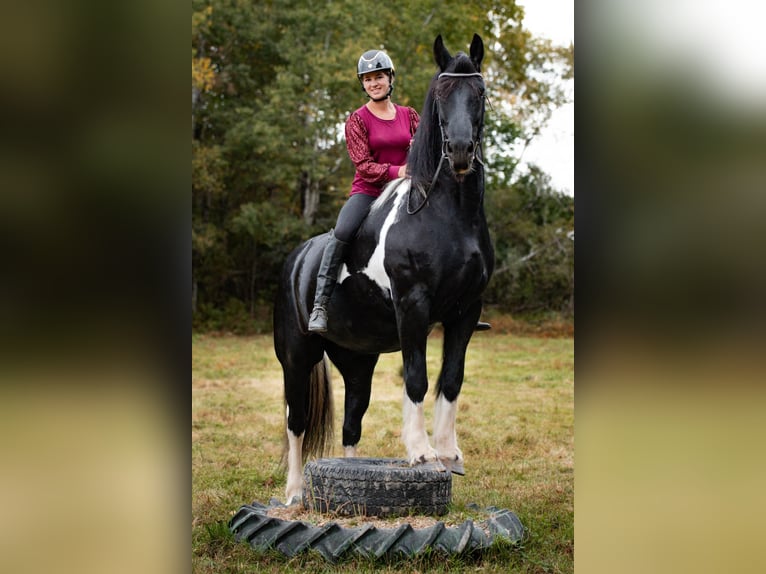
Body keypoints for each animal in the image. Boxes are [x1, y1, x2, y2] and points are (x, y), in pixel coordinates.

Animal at [272, 33, 496, 506]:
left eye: (480, 92)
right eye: (442, 95)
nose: (460, 152)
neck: (448, 215)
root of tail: (297, 260)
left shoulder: (466, 311)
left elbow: (452, 379)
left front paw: (449, 453)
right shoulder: (413, 306)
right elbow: (416, 378)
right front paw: (421, 452)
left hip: (358, 360)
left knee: (351, 422)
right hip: (297, 358)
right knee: (296, 422)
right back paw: (296, 493)